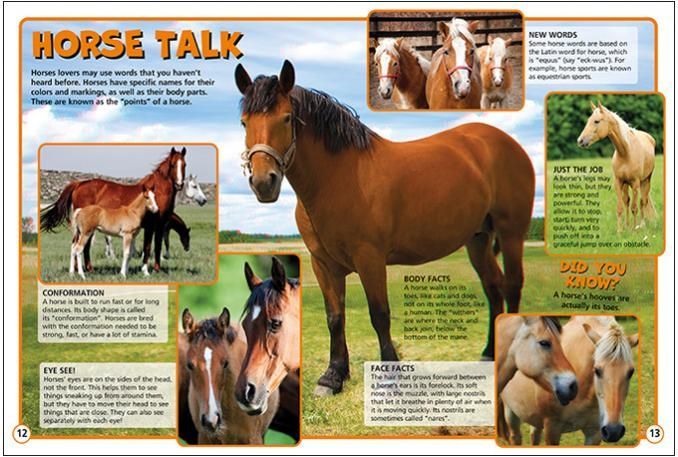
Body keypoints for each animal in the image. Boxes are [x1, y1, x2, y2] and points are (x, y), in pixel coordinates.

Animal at [40, 147, 187, 275]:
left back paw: (80, 269)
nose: (179, 184)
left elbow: (158, 246)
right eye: (173, 164)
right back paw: (86, 269)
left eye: (184, 165)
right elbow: (149, 247)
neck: (159, 191)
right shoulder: (151, 226)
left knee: (78, 246)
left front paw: (156, 269)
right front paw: (146, 270)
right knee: (82, 247)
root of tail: (79, 184)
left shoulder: (160, 226)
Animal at [234, 60, 535, 396]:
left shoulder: (370, 259)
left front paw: (390, 376)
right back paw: (488, 353)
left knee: (512, 284)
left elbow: (380, 315)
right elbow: (334, 317)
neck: (338, 178)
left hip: (511, 233)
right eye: (245, 123)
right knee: (493, 287)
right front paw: (332, 376)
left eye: (286, 118)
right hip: (478, 240)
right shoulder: (323, 264)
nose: (263, 182)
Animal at [501, 316, 638, 445]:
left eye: (631, 372)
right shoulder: (552, 429)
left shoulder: (594, 433)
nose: (613, 430)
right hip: (510, 413)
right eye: (597, 370)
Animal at [577, 101, 657, 232]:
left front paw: (634, 230)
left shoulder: (635, 183)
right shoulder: (618, 182)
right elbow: (620, 207)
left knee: (642, 202)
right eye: (588, 120)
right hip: (626, 184)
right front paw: (620, 231)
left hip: (646, 181)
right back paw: (627, 225)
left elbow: (635, 208)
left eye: (596, 121)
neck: (626, 153)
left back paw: (641, 225)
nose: (580, 141)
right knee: (627, 201)